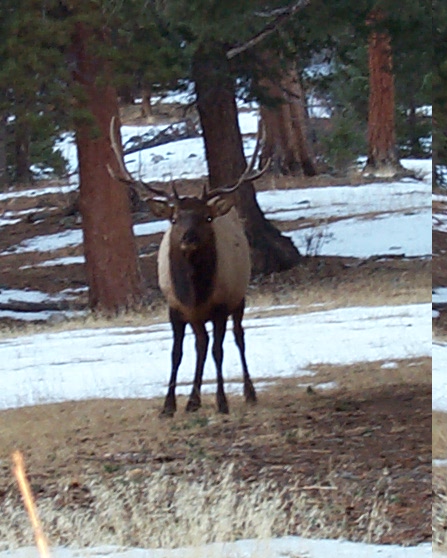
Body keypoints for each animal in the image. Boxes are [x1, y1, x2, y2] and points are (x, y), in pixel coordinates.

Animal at [110, 117, 268, 416]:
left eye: (206, 218)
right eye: (174, 219)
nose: (188, 238)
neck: (195, 292)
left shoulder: (220, 306)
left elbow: (219, 351)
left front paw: (221, 402)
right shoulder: (175, 307)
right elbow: (177, 353)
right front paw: (168, 405)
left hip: (239, 297)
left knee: (238, 338)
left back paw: (249, 392)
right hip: (197, 317)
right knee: (200, 344)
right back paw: (193, 400)